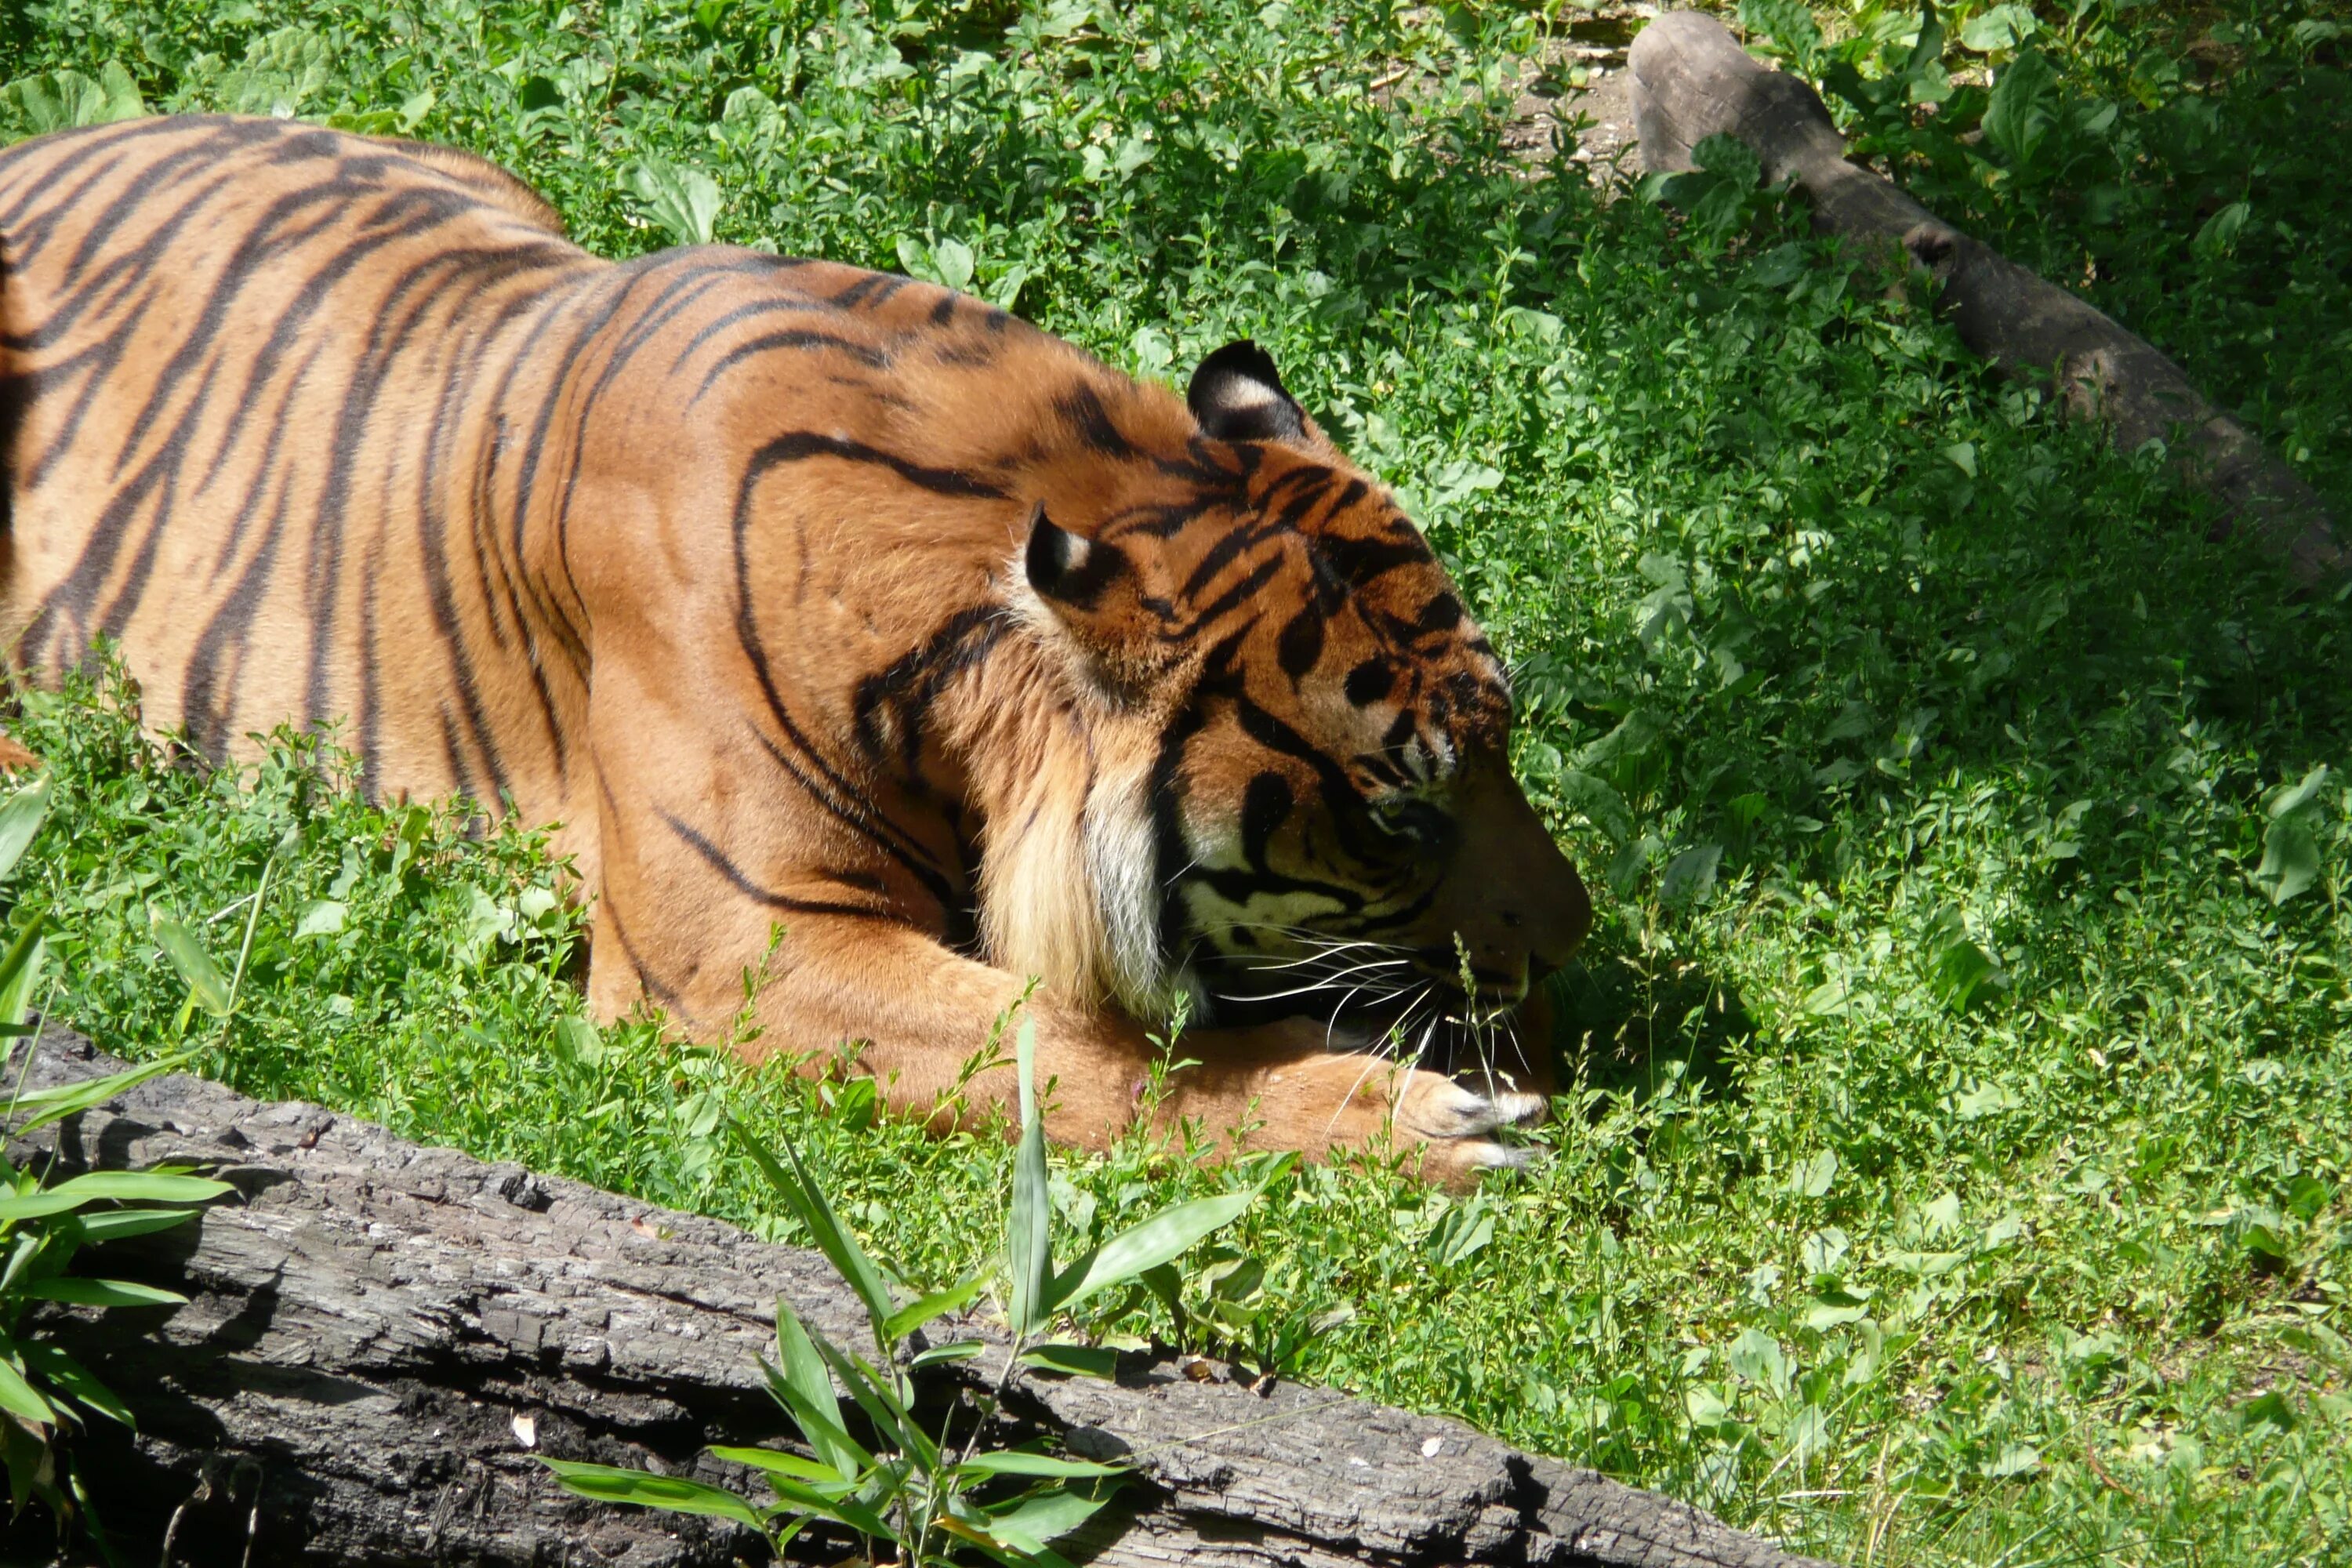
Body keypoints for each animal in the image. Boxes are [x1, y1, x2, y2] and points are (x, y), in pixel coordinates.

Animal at [0, 116, 1590, 1185]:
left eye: (1505, 745)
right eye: (1400, 812)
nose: (1574, 947)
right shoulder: (746, 947)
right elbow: (1075, 1050)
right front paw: (1428, 1121)